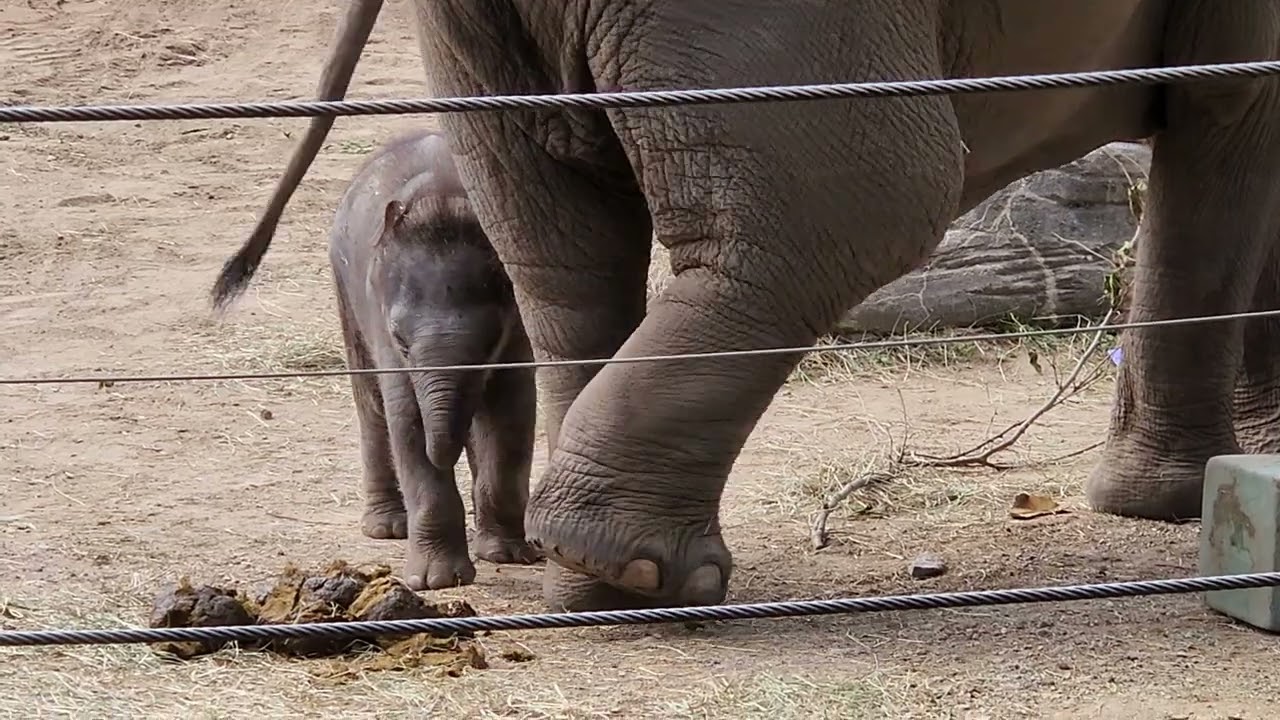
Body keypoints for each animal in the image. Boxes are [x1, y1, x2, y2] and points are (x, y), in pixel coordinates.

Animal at [329, 127, 540, 590]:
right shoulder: (381, 327)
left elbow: (511, 414)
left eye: (491, 340)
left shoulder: (519, 332)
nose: (446, 450)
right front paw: (434, 581)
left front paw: (508, 554)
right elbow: (405, 417)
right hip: (344, 291)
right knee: (371, 406)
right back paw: (388, 526)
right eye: (400, 339)